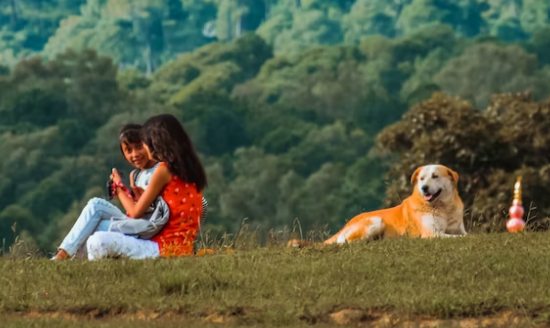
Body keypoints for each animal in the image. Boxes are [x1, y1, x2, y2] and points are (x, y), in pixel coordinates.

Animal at [292, 164, 468, 246]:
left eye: (435, 176)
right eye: (421, 179)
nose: (424, 188)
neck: (444, 208)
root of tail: (345, 225)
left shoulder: (458, 228)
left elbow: (465, 234)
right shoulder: (432, 233)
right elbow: (459, 237)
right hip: (377, 220)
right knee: (346, 242)